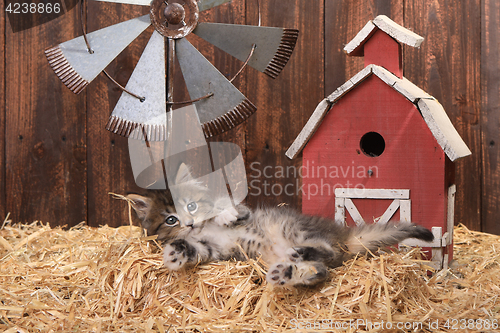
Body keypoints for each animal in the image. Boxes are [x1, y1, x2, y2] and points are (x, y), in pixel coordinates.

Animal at [126, 163, 434, 286]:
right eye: (170, 219)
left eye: (191, 205)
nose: (189, 224)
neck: (203, 231)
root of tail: (343, 235)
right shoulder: (214, 250)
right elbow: (195, 249)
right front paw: (176, 252)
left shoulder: (247, 211)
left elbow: (233, 208)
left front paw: (224, 214)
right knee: (321, 270)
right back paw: (290, 272)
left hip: (293, 227)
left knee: (328, 252)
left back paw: (298, 257)